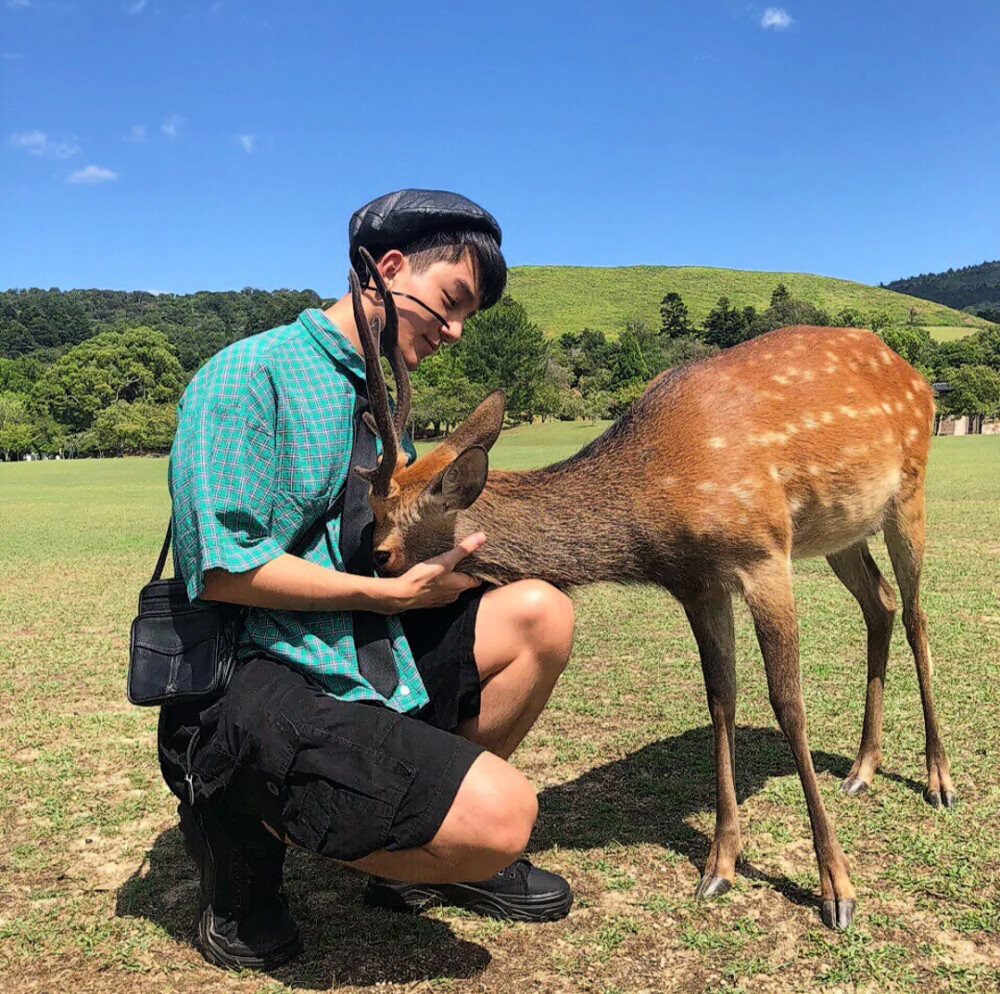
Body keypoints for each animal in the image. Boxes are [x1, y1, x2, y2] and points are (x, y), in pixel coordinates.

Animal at [350, 250, 952, 928]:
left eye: (381, 552)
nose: (360, 589)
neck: (656, 510)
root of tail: (915, 374)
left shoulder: (764, 553)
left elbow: (788, 703)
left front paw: (837, 888)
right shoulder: (698, 583)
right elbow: (720, 697)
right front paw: (719, 865)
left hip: (909, 489)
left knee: (916, 613)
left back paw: (938, 780)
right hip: (839, 528)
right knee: (881, 602)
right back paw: (861, 769)